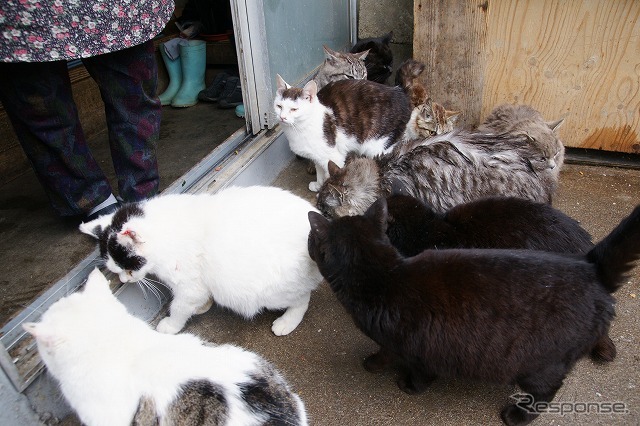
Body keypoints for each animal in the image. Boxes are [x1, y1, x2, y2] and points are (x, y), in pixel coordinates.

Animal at [79, 186, 324, 336]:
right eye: (116, 270)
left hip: (272, 292)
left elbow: (179, 306)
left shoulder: (189, 287)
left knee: (302, 298)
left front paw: (171, 325)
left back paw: (287, 322)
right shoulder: (198, 286)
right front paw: (202, 307)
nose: (123, 280)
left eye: (129, 269)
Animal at [274, 75, 410, 191]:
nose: (282, 117)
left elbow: (331, 175)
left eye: (294, 109)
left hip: (378, 146)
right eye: (279, 106)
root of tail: (401, 94)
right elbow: (320, 171)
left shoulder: (333, 157)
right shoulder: (317, 156)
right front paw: (318, 185)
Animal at [306, 199, 640, 426]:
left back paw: (516, 415)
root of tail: (590, 268)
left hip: (541, 366)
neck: (383, 275)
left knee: (546, 392)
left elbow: (406, 366)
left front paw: (393, 377)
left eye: (310, 239)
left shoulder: (414, 349)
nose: (307, 237)